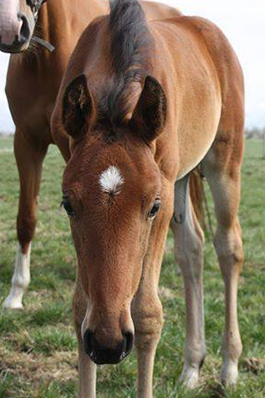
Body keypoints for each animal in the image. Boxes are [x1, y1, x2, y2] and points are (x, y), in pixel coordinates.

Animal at [51, 0, 243, 394]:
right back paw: (192, 366)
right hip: (185, 176)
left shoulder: (165, 189)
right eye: (68, 205)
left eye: (152, 206)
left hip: (224, 163)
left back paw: (229, 366)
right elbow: (80, 307)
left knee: (228, 247)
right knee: (191, 249)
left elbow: (146, 314)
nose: (108, 343)